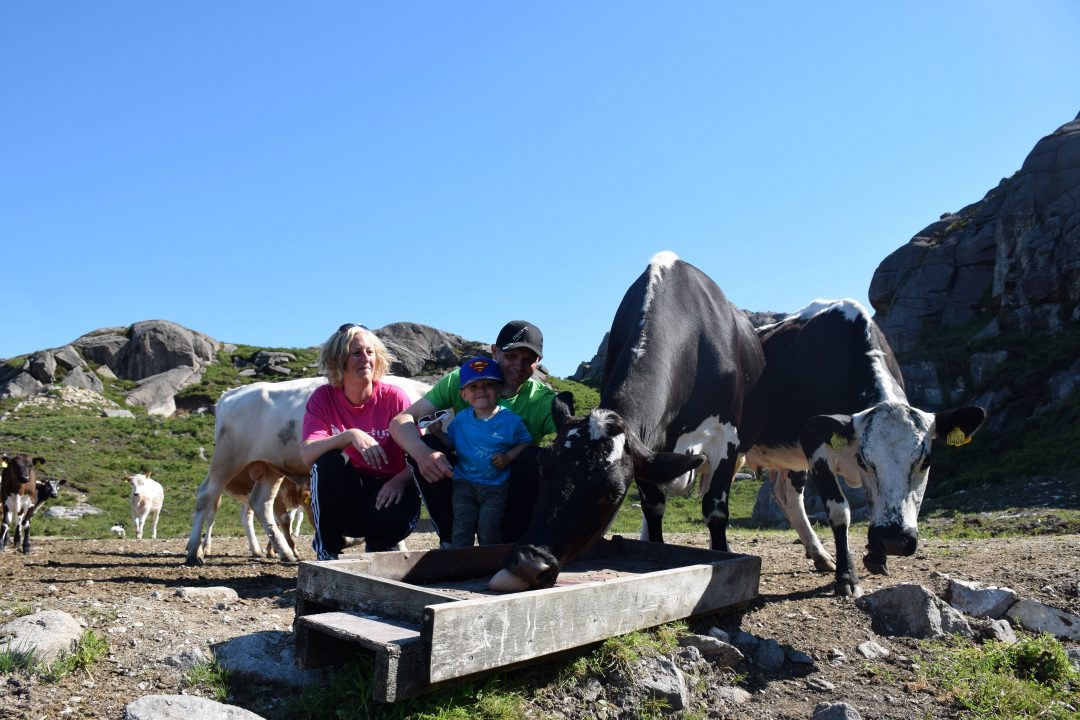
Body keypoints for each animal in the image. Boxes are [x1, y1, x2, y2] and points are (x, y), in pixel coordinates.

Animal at [184, 375, 430, 566]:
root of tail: (233, 394)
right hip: (227, 458)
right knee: (206, 495)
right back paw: (194, 551)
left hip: (269, 467)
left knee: (261, 503)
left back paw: (285, 552)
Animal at [491, 252, 764, 591]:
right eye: (543, 469)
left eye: (613, 494)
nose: (530, 564)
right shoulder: (648, 450)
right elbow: (653, 505)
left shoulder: (725, 437)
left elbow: (714, 510)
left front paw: (721, 553)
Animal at [740, 299, 986, 596]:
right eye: (864, 461)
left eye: (924, 462)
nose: (894, 539)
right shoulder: (815, 446)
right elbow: (839, 511)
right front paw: (846, 576)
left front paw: (877, 556)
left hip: (790, 460)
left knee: (788, 497)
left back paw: (819, 554)